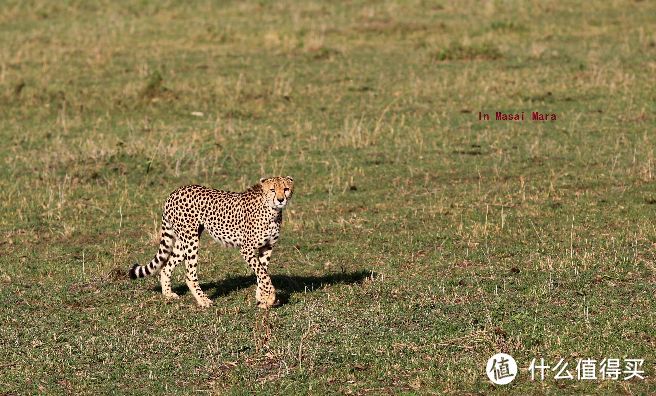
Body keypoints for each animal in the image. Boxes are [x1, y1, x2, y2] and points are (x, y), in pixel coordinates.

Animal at [129, 176, 294, 310]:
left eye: (286, 189)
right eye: (272, 190)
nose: (280, 200)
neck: (272, 210)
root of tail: (175, 191)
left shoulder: (267, 247)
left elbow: (262, 273)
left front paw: (262, 299)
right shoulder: (246, 248)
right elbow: (263, 274)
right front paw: (270, 297)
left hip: (185, 240)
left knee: (166, 267)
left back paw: (168, 294)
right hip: (191, 240)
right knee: (189, 274)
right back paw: (203, 300)